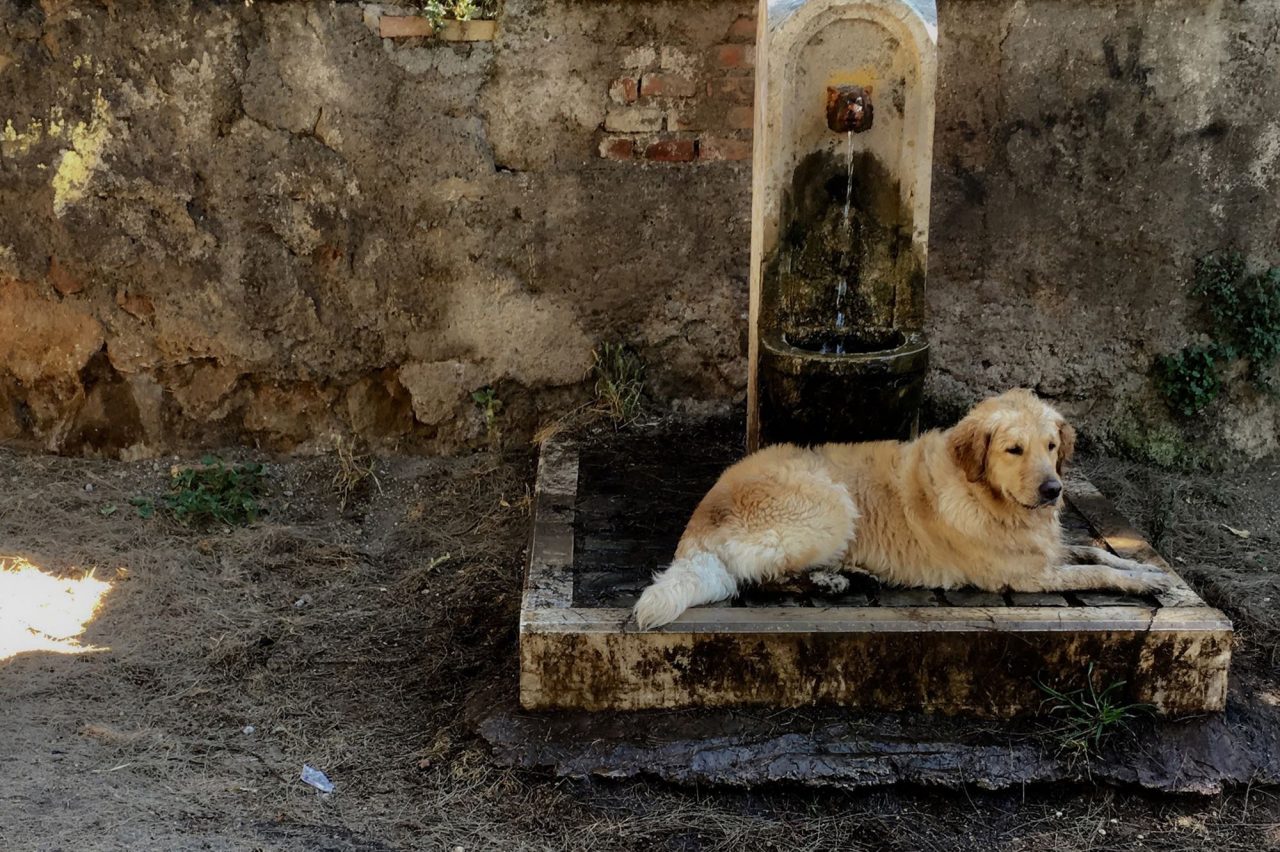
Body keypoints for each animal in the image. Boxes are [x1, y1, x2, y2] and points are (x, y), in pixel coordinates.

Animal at [629, 388, 1172, 626]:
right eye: (1013, 450)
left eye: (1051, 446)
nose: (1053, 490)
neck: (986, 496)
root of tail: (700, 519)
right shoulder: (1025, 576)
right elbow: (1096, 572)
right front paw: (1140, 582)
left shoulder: (1047, 551)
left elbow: (1097, 553)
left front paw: (1147, 570)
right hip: (833, 502)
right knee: (757, 580)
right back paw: (833, 581)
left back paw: (848, 575)